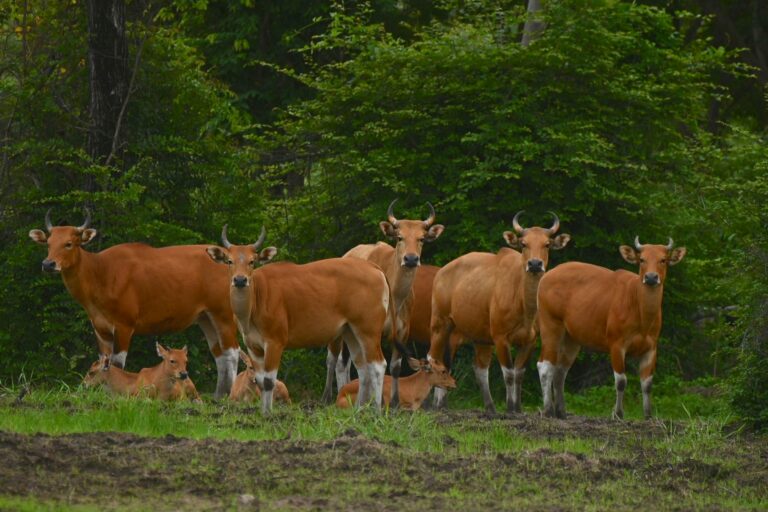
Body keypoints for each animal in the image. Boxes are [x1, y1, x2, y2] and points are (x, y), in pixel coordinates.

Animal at [29, 210, 240, 399]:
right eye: (48, 243)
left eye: (69, 243)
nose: (48, 264)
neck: (101, 274)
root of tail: (229, 260)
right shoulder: (100, 328)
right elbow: (102, 361)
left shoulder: (124, 325)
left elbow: (115, 363)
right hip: (206, 317)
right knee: (220, 355)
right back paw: (218, 395)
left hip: (224, 314)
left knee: (232, 352)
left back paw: (228, 395)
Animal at [206, 226, 390, 414]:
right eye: (229, 261)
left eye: (252, 261)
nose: (240, 280)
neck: (256, 302)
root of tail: (374, 268)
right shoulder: (253, 346)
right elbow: (260, 380)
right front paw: (263, 412)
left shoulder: (275, 342)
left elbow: (269, 381)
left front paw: (268, 414)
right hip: (350, 331)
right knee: (363, 368)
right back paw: (360, 409)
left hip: (369, 330)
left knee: (378, 365)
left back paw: (376, 409)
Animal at [320, 201, 444, 408]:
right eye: (400, 237)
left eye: (421, 238)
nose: (411, 259)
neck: (394, 295)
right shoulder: (372, 330)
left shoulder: (402, 332)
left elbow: (395, 367)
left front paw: (394, 401)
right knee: (334, 359)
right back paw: (328, 396)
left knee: (345, 362)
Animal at [427, 211, 571, 413]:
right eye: (524, 243)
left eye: (547, 244)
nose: (535, 264)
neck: (524, 306)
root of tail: (441, 272)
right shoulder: (500, 338)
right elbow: (509, 373)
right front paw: (510, 408)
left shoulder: (530, 341)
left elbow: (519, 374)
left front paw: (517, 408)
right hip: (440, 323)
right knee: (433, 357)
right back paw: (434, 404)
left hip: (473, 335)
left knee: (474, 367)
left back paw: (486, 408)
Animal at [537, 237, 686, 419]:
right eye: (642, 259)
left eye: (663, 260)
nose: (651, 277)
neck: (641, 315)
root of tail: (547, 276)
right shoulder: (616, 344)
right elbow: (621, 381)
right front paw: (618, 413)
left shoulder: (651, 348)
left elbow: (647, 383)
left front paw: (648, 415)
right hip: (550, 325)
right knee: (545, 366)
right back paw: (548, 410)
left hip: (571, 338)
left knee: (560, 371)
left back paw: (561, 412)